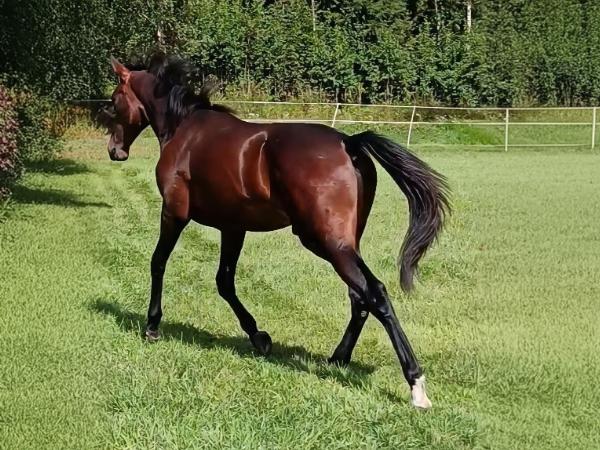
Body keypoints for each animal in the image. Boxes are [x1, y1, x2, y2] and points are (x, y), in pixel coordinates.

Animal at [100, 53, 450, 409]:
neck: (184, 131)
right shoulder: (233, 227)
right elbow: (225, 282)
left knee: (374, 293)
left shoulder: (173, 213)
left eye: (114, 100)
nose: (115, 151)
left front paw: (152, 325)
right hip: (343, 242)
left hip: (327, 242)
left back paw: (416, 385)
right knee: (359, 296)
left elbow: (158, 262)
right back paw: (337, 358)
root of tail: (348, 143)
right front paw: (259, 337)